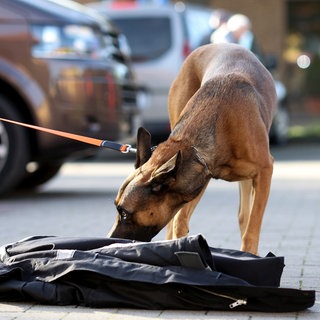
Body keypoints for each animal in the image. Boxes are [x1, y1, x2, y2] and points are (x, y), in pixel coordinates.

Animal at [108, 42, 278, 254]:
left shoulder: (264, 173)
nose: (107, 241)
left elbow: (251, 229)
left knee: (244, 217)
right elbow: (179, 222)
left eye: (124, 213)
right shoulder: (195, 182)